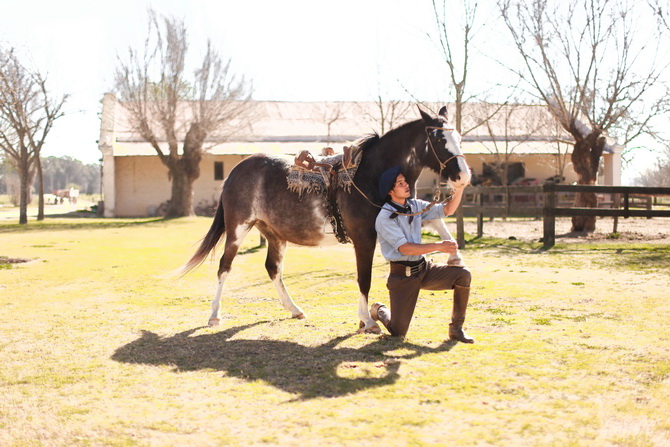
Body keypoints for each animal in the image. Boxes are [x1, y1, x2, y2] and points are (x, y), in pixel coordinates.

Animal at [181, 107, 470, 334]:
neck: (371, 175)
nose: (463, 177)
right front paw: (367, 321)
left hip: (274, 234)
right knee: (224, 267)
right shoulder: (364, 239)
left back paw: (294, 309)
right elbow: (364, 279)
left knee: (273, 268)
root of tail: (236, 171)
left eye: (459, 136)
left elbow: (436, 222)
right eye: (438, 137)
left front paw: (455, 256)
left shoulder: (403, 213)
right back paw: (214, 316)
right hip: (238, 229)